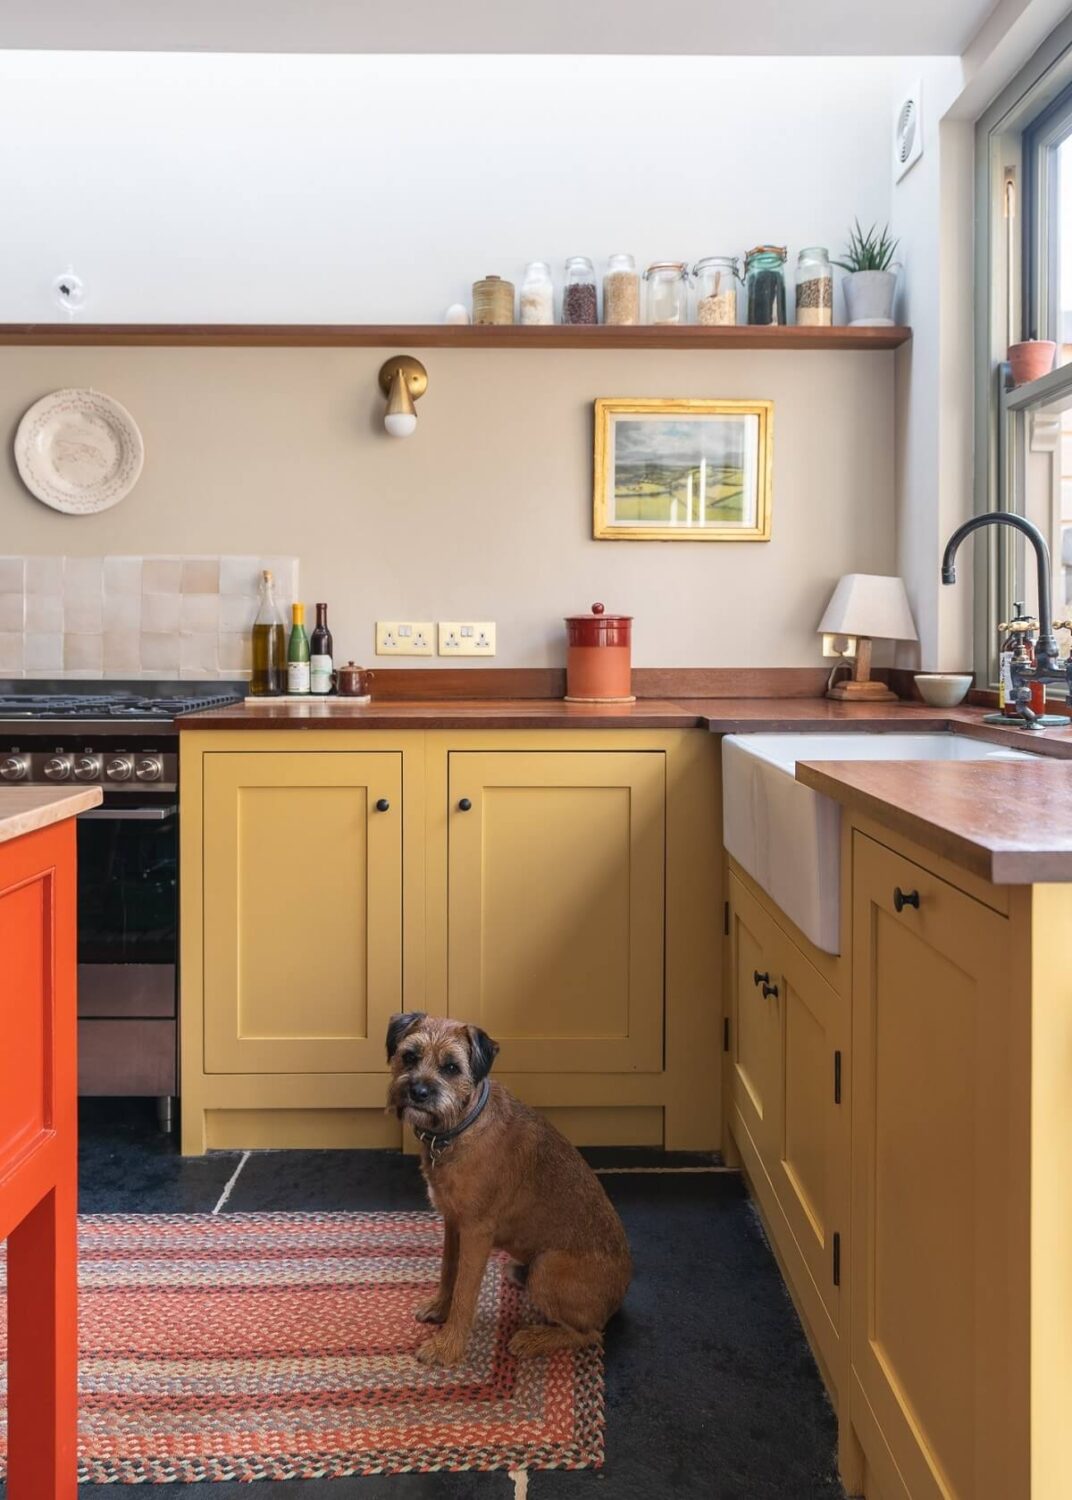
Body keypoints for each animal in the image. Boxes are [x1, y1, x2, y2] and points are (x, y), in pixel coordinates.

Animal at [389, 1014, 632, 1368]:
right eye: (409, 1056)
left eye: (451, 1067)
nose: (417, 1091)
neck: (460, 1128)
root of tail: (620, 1296)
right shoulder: (453, 1223)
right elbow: (448, 1270)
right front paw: (439, 1308)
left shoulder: (477, 1233)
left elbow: (465, 1291)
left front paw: (448, 1347)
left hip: (546, 1268)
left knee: (589, 1334)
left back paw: (534, 1339)